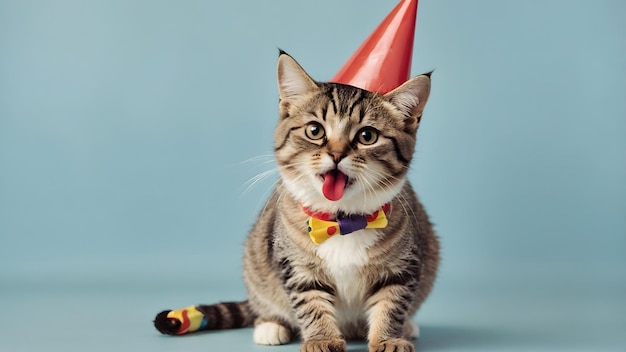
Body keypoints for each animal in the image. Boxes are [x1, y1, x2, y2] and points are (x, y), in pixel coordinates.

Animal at [155, 51, 438, 352]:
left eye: (367, 136)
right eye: (315, 130)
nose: (336, 154)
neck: (342, 221)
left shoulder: (402, 266)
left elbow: (391, 302)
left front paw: (388, 338)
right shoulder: (296, 266)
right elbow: (311, 303)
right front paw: (323, 338)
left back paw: (408, 325)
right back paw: (270, 325)